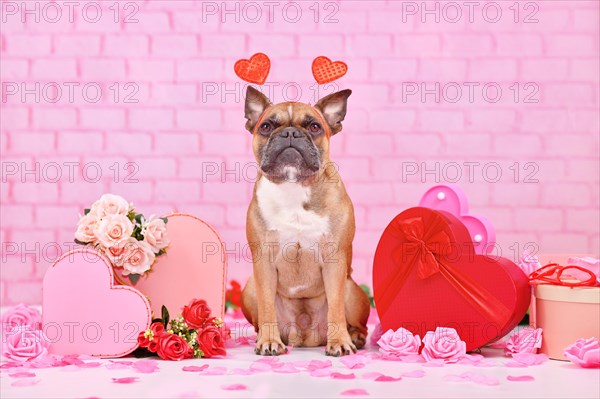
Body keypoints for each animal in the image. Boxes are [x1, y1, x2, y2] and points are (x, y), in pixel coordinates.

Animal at [240, 86, 370, 356]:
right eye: (266, 126)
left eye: (314, 127)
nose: (290, 133)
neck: (294, 185)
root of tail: (305, 337)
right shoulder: (263, 262)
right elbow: (267, 306)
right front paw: (269, 341)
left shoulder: (335, 261)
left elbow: (336, 308)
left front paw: (339, 342)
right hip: (249, 287)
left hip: (352, 289)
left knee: (356, 322)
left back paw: (354, 337)